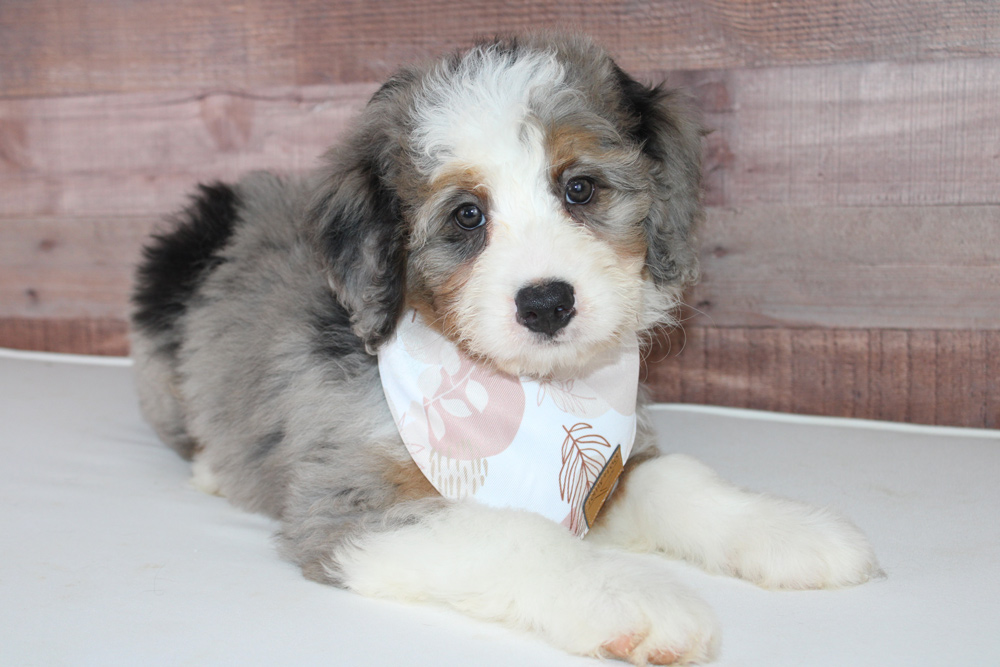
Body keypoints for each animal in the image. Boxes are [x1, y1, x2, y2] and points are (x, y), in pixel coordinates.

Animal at [130, 34, 879, 664]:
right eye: (468, 215)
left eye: (580, 188)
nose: (547, 303)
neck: (530, 391)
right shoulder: (351, 508)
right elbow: (517, 534)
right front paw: (631, 596)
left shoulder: (608, 467)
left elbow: (681, 479)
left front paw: (787, 529)